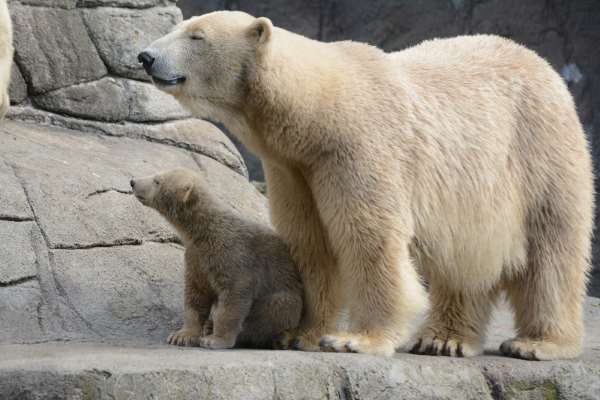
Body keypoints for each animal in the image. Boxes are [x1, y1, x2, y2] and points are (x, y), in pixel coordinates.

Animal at [139, 10, 592, 360]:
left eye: (196, 35)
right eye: (182, 26)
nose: (146, 56)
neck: (321, 109)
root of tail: (543, 66)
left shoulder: (357, 150)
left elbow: (368, 237)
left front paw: (355, 339)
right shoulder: (295, 168)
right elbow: (311, 243)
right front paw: (299, 334)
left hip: (539, 151)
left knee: (552, 251)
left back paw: (538, 343)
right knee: (465, 260)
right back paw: (443, 339)